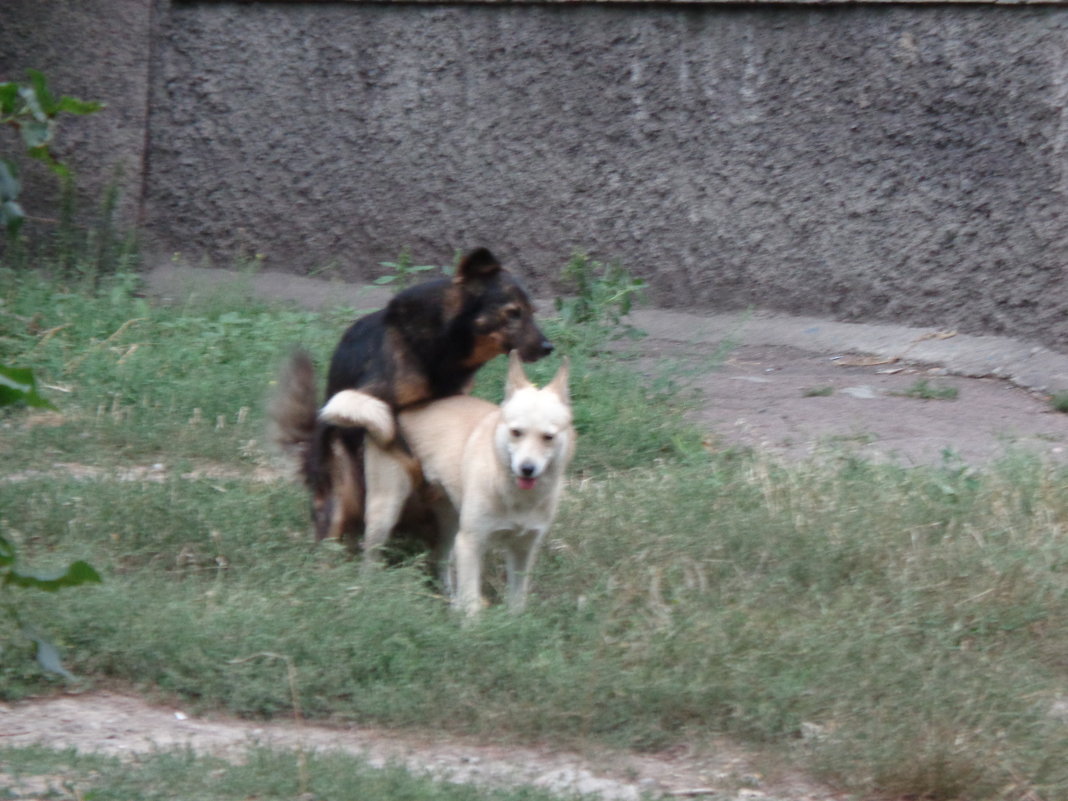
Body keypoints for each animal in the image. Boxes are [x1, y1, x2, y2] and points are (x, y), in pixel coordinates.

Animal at [273, 247, 551, 555]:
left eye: (533, 312)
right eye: (513, 313)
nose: (548, 347)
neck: (440, 345)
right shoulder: (374, 405)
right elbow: (408, 454)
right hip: (342, 479)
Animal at [318, 352, 576, 619]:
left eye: (548, 437)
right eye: (516, 432)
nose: (527, 468)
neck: (515, 496)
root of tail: (395, 410)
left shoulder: (523, 549)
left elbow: (517, 602)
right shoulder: (471, 543)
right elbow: (472, 606)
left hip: (450, 524)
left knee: (440, 563)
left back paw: (449, 604)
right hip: (385, 513)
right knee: (370, 561)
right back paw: (368, 594)